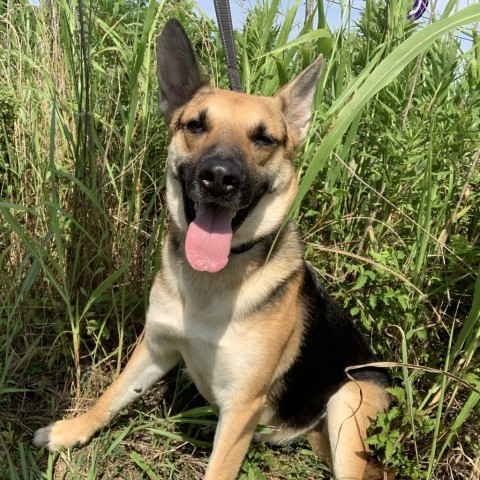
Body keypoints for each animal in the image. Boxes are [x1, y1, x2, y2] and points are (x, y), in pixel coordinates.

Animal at [34, 18, 394, 480]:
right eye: (195, 125)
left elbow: (218, 469)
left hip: (348, 398)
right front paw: (73, 429)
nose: (219, 178)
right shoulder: (154, 348)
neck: (210, 282)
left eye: (265, 139)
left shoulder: (241, 408)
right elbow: (111, 396)